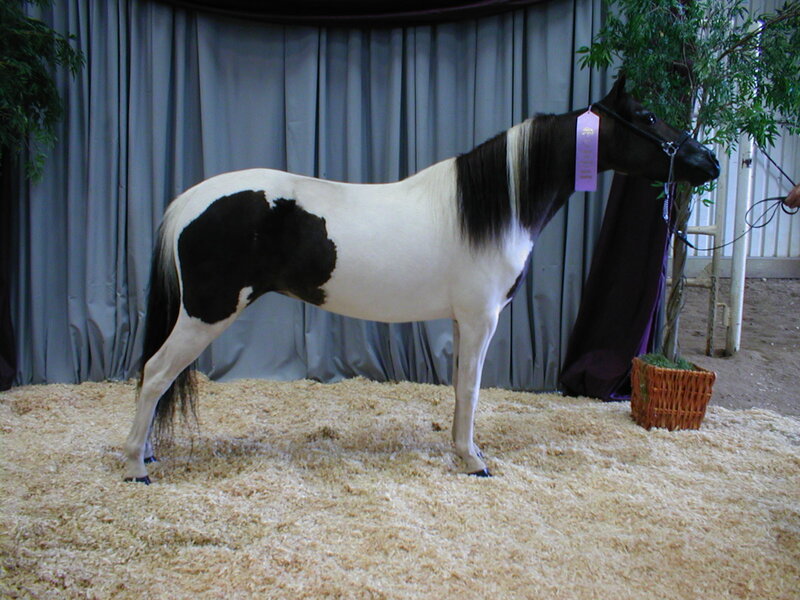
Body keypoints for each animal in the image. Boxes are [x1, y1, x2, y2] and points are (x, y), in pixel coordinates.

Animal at [123, 75, 720, 483]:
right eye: (648, 115)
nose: (709, 161)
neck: (494, 207)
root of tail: (187, 202)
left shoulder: (462, 321)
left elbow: (459, 387)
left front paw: (461, 450)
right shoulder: (480, 319)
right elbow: (471, 389)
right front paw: (473, 460)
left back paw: (146, 451)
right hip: (207, 312)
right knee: (154, 374)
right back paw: (136, 466)